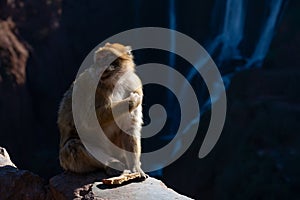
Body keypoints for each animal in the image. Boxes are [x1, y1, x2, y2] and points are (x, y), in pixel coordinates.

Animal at [57, 43, 148, 179]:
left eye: (107, 59)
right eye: (99, 60)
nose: (100, 67)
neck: (116, 81)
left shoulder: (135, 85)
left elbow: (129, 127)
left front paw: (135, 167)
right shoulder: (93, 87)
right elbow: (89, 120)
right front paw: (130, 102)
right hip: (67, 162)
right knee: (73, 145)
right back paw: (111, 165)